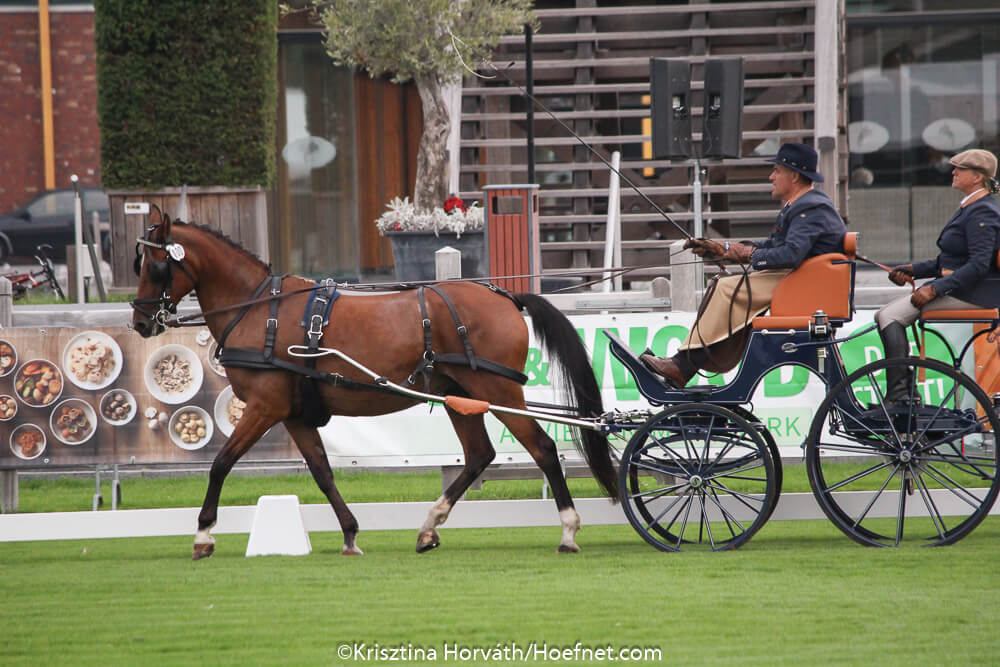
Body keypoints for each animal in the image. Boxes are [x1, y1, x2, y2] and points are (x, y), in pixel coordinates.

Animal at [131, 207, 618, 558]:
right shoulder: (295, 415)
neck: (258, 309)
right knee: (480, 454)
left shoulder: (265, 408)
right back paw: (429, 526)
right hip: (461, 395)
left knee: (543, 448)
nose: (139, 322)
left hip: (497, 390)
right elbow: (322, 472)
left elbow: (221, 463)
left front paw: (203, 535)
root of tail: (504, 296)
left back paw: (569, 530)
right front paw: (350, 534)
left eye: (155, 266)